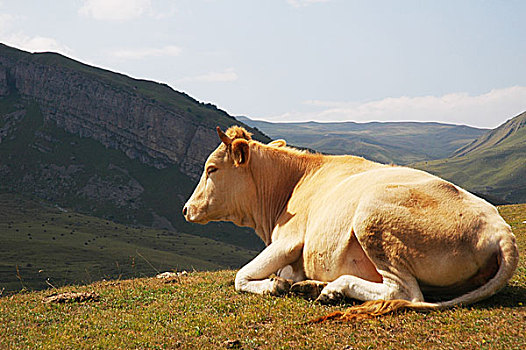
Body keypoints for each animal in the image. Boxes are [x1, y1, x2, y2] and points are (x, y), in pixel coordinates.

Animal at [184, 125, 520, 318]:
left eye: (212, 169)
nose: (186, 209)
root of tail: (501, 230)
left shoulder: (290, 240)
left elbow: (240, 276)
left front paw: (274, 285)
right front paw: (288, 279)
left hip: (372, 218)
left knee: (403, 292)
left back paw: (332, 288)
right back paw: (313, 287)